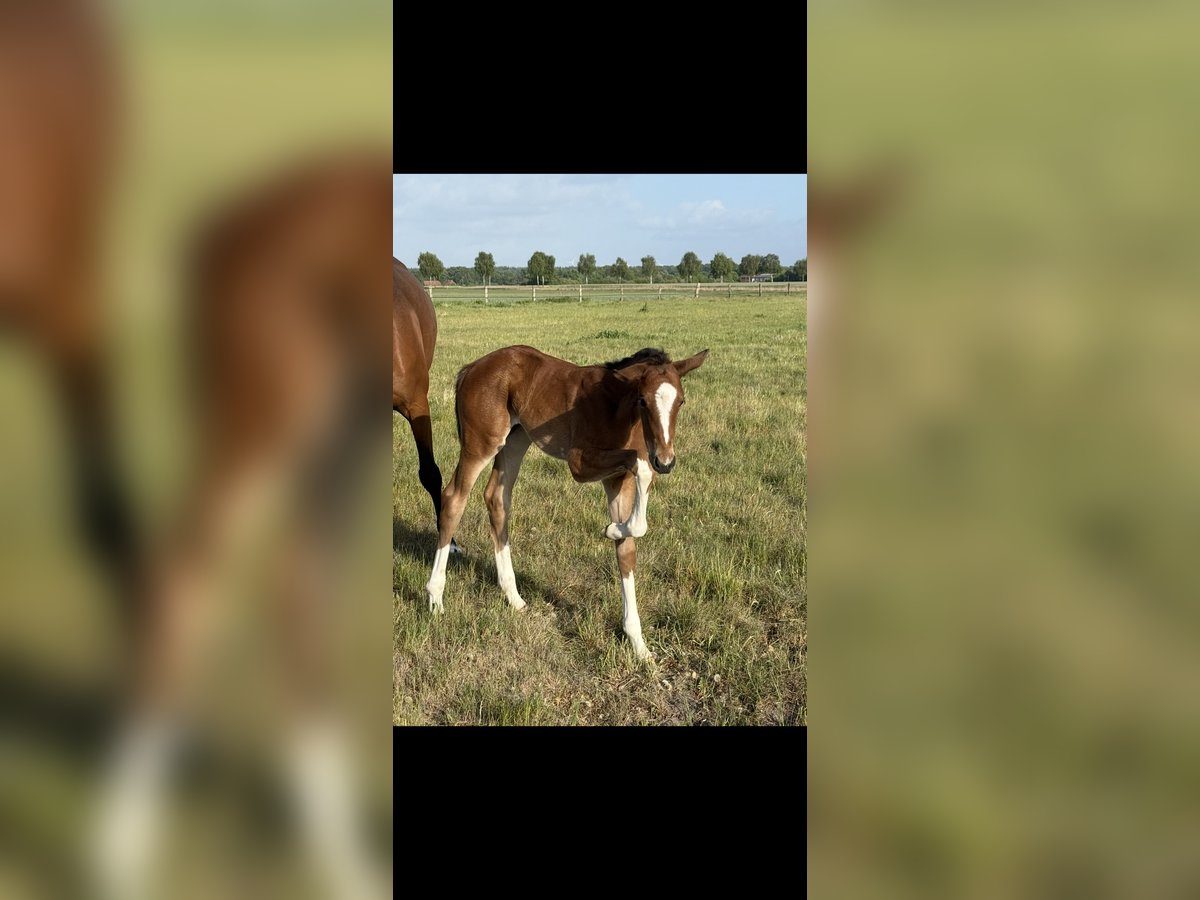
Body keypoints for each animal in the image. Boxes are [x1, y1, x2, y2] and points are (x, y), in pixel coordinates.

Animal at [425, 345, 708, 661]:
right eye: (643, 400)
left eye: (681, 401)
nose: (666, 461)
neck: (616, 407)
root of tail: (472, 368)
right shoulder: (580, 463)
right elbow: (641, 465)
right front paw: (612, 528)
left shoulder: (618, 481)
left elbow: (629, 545)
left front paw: (638, 644)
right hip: (482, 443)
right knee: (454, 499)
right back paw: (435, 597)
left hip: (516, 440)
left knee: (497, 498)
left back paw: (513, 596)